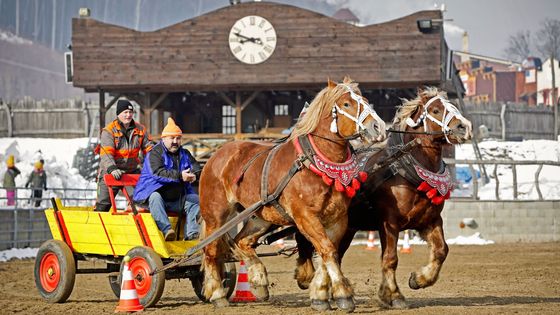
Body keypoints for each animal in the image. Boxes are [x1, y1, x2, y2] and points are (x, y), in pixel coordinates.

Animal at [199, 77, 388, 312]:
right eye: (346, 104)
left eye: (366, 101)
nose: (379, 127)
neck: (313, 164)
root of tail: (216, 156)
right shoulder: (305, 216)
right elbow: (327, 249)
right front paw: (342, 295)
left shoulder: (337, 218)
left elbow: (327, 252)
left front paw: (320, 293)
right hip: (215, 216)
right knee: (211, 250)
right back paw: (217, 294)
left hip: (260, 216)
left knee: (241, 242)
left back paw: (259, 282)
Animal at [294, 87, 472, 310]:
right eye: (436, 110)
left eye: (452, 105)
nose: (463, 127)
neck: (405, 169)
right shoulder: (389, 223)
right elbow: (390, 258)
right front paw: (393, 295)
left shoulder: (430, 220)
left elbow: (441, 250)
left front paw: (419, 279)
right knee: (307, 243)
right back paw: (307, 278)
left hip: (347, 227)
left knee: (333, 254)